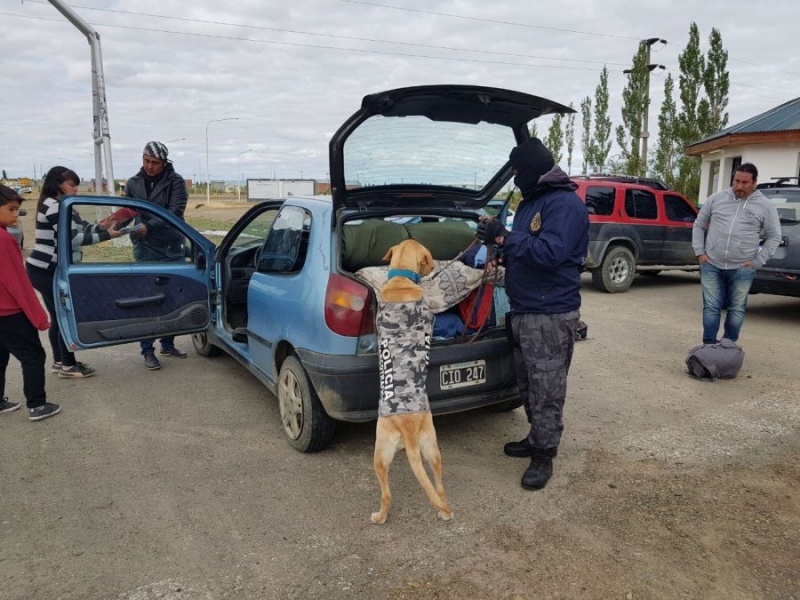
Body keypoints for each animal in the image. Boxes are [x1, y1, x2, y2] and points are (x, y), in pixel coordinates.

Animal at [372, 239, 454, 524]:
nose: (433, 268)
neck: (402, 280)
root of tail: (407, 426)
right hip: (432, 448)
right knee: (439, 488)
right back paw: (444, 511)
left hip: (379, 453)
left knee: (387, 494)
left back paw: (379, 517)